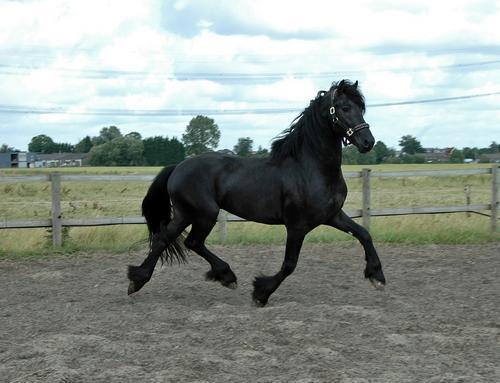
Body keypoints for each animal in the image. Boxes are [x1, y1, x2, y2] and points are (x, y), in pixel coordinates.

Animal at [129, 79, 386, 308]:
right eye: (345, 108)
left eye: (361, 108)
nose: (368, 141)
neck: (309, 167)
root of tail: (178, 167)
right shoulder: (297, 226)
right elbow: (289, 264)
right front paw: (261, 293)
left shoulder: (333, 215)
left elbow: (364, 234)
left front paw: (377, 277)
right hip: (204, 214)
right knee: (191, 241)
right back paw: (225, 276)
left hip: (186, 214)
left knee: (166, 239)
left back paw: (138, 280)